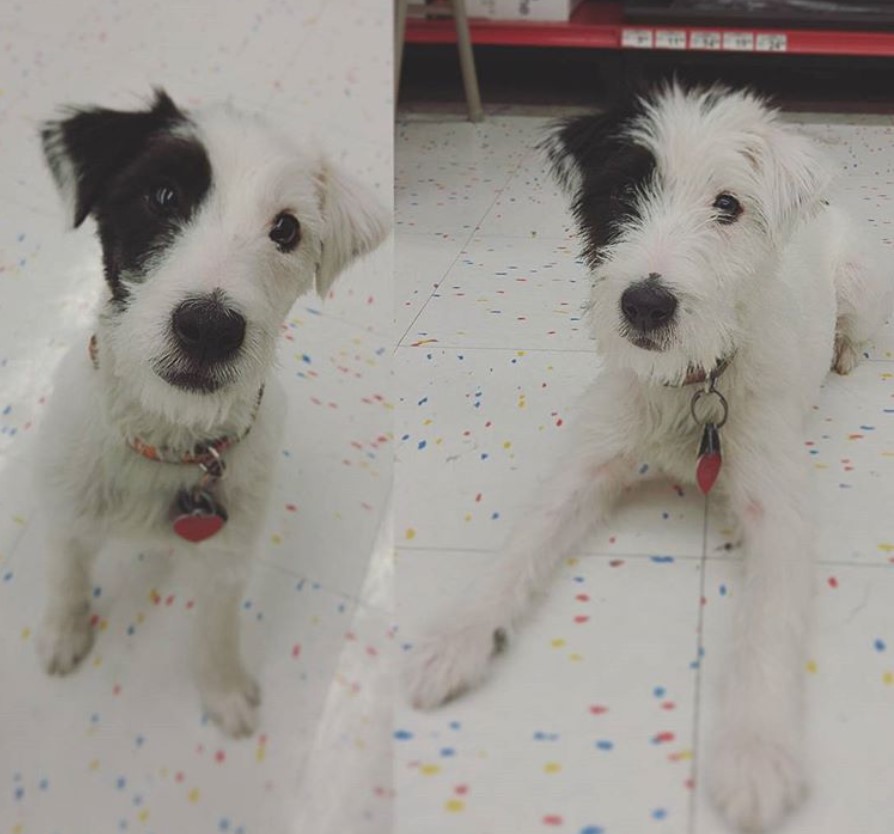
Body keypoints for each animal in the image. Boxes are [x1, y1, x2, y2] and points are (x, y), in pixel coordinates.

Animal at [36, 89, 392, 736]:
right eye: (163, 196)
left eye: (286, 228)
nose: (209, 329)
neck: (167, 440)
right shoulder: (66, 511)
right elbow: (66, 571)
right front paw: (63, 632)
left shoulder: (227, 558)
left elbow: (216, 629)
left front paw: (223, 689)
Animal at [408, 86, 894, 832]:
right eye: (622, 192)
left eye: (728, 204)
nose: (644, 304)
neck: (692, 383)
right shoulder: (589, 458)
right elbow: (524, 541)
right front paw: (454, 637)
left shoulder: (777, 504)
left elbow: (768, 620)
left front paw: (756, 750)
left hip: (864, 286)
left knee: (856, 329)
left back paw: (842, 354)